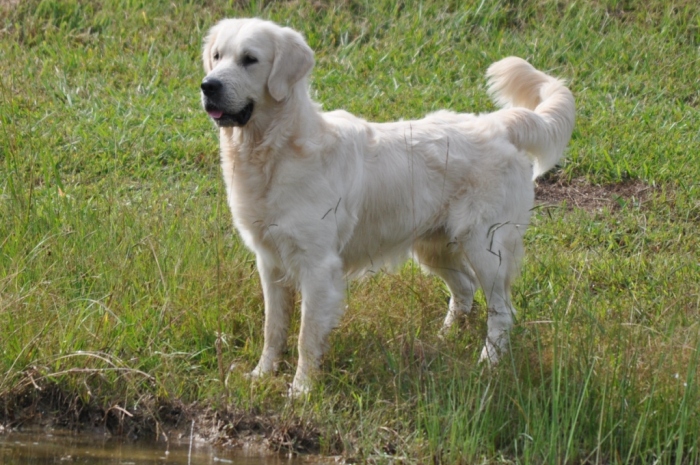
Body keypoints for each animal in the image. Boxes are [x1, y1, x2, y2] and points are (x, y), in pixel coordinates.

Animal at [198, 17, 576, 392]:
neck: (275, 152)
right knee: (464, 289)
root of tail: (498, 123)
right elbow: (272, 329)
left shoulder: (317, 266)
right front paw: (261, 375)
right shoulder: (270, 262)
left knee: (501, 311)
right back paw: (444, 339)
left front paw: (301, 390)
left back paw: (489, 363)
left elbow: (306, 336)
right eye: (217, 56)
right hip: (433, 247)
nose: (208, 86)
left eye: (250, 59)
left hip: (486, 247)